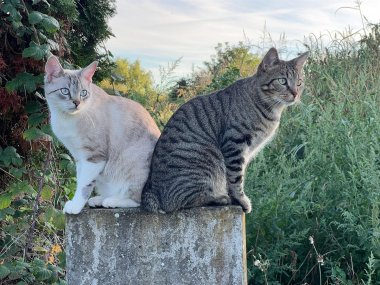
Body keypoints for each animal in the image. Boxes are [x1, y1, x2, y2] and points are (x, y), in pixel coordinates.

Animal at [45, 56, 160, 213]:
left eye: (83, 93)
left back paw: (112, 201)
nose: (77, 103)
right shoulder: (79, 157)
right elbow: (80, 180)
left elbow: (84, 186)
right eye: (65, 91)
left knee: (137, 200)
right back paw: (99, 199)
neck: (67, 119)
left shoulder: (94, 157)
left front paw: (75, 206)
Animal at [142, 47, 308, 212]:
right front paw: (240, 200)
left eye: (299, 82)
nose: (295, 93)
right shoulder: (235, 142)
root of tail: (152, 190)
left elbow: (235, 177)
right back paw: (219, 198)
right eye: (282, 81)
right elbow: (235, 178)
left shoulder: (246, 152)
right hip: (205, 160)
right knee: (179, 201)